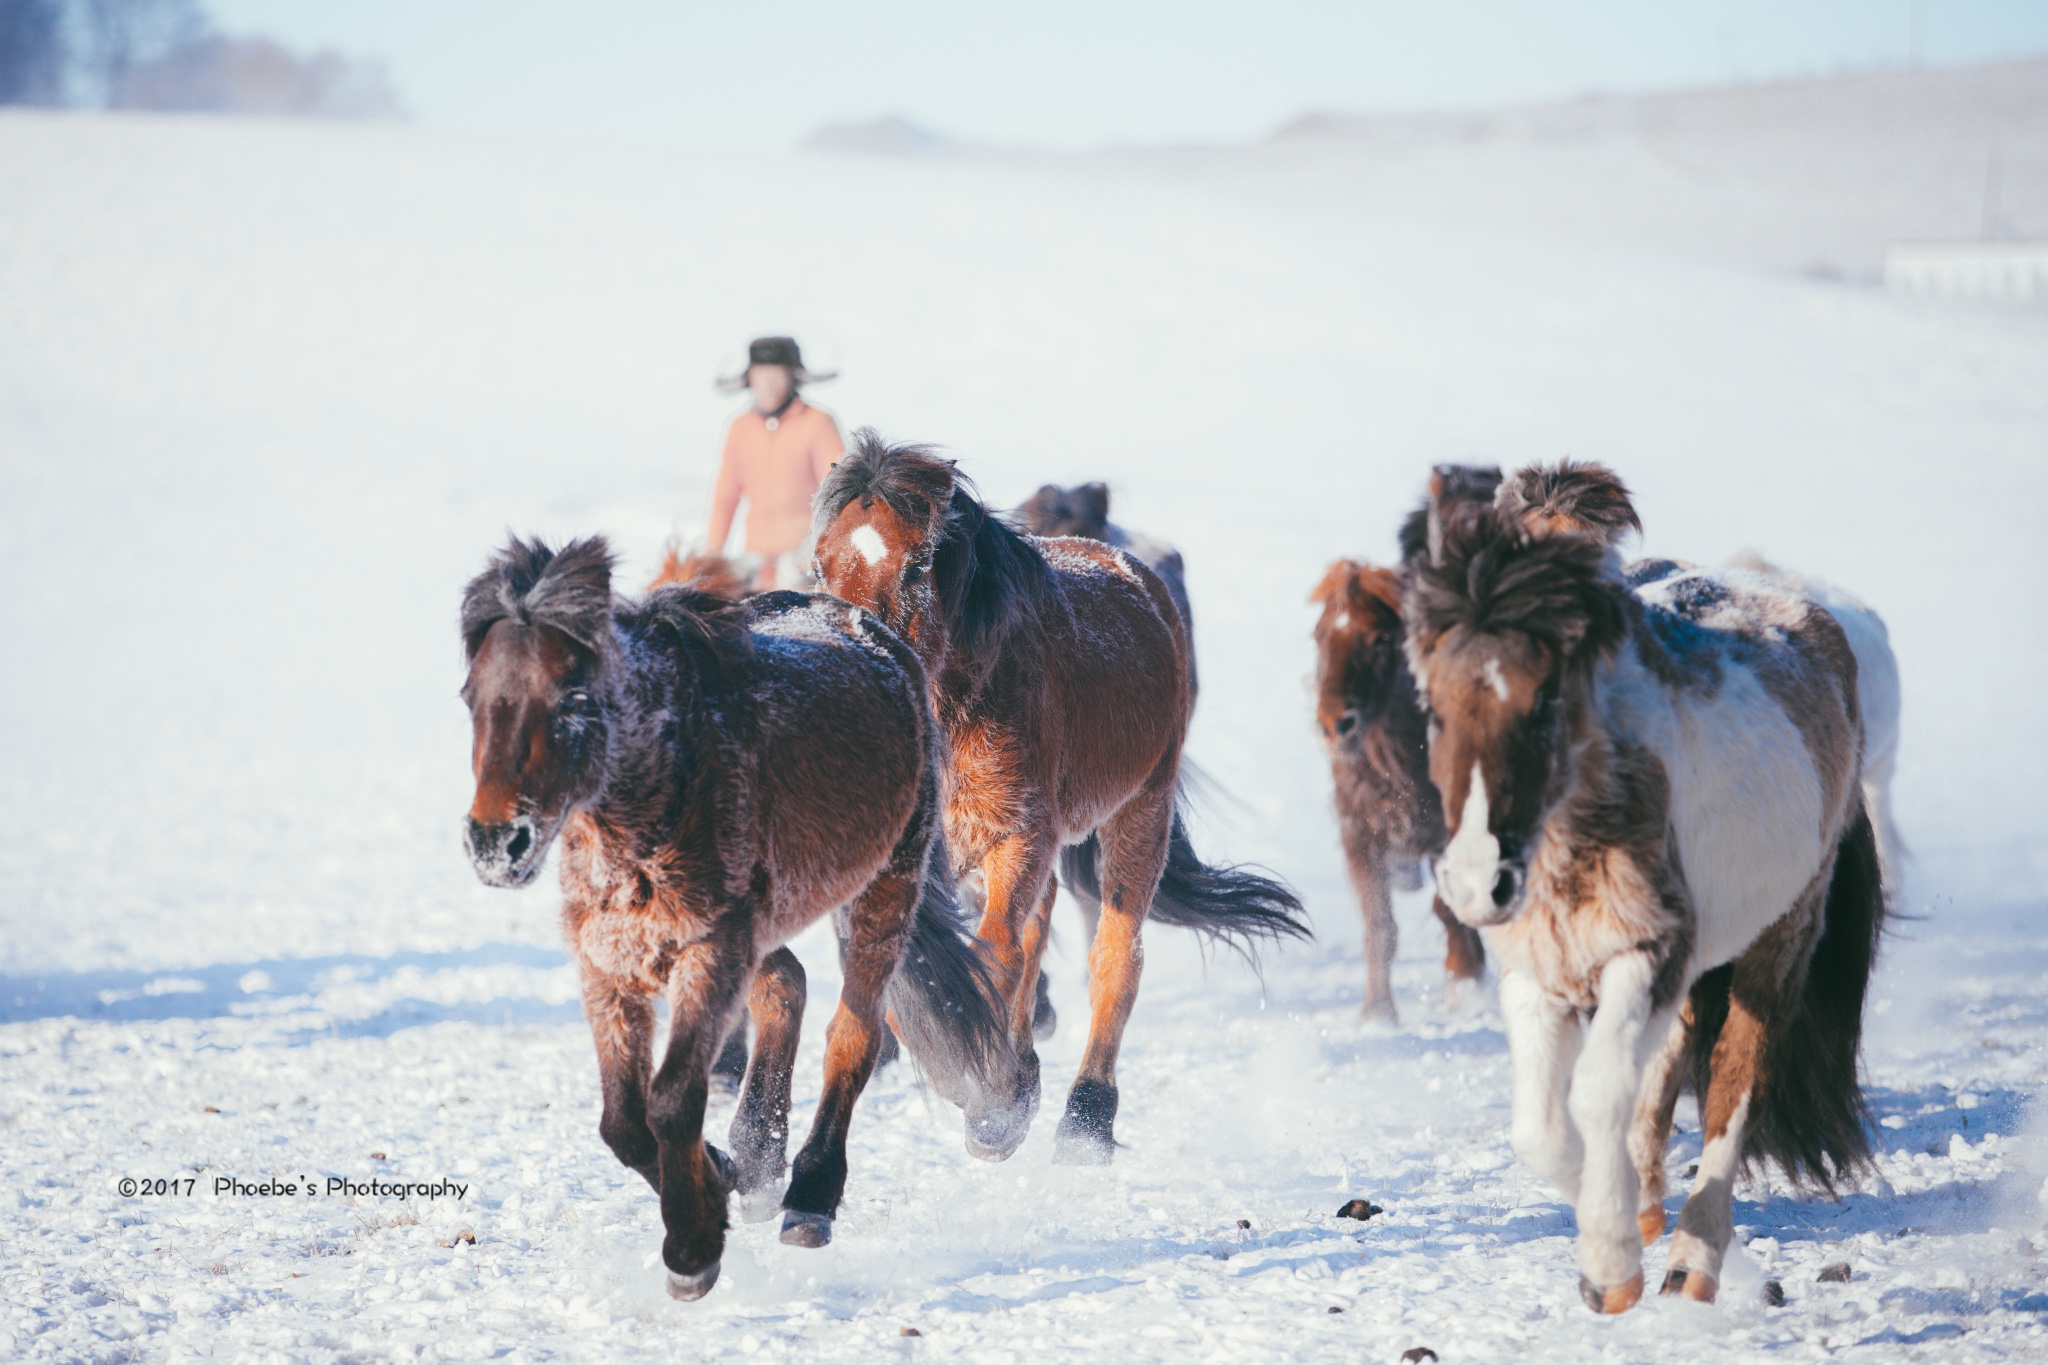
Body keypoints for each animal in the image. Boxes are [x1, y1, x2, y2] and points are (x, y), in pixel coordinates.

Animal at [458, 532, 1015, 1301]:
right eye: (471, 696)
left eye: (573, 699)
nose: (495, 843)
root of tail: (875, 633)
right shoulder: (610, 966)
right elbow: (622, 1122)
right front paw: (718, 1178)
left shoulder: (708, 953)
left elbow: (669, 1101)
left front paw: (692, 1249)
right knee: (786, 986)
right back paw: (755, 1161)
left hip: (882, 894)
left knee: (853, 1034)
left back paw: (809, 1196)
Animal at [806, 431, 1302, 1170]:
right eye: (819, 564)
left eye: (918, 565)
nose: (858, 654)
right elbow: (907, 980)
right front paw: (994, 1085)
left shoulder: (1017, 836)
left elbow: (997, 957)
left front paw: (992, 1104)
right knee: (1037, 937)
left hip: (1137, 816)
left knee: (1114, 959)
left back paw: (1085, 1117)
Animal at [1409, 497, 1884, 1309]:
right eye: (1434, 709)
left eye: (1544, 701)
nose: (1478, 882)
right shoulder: (1538, 972)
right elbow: (1541, 1129)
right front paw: (1617, 1230)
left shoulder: (1646, 950)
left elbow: (1602, 1092)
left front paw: (1611, 1267)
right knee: (1669, 1057)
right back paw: (1649, 1205)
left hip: (1782, 932)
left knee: (1733, 1080)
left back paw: (1693, 1261)